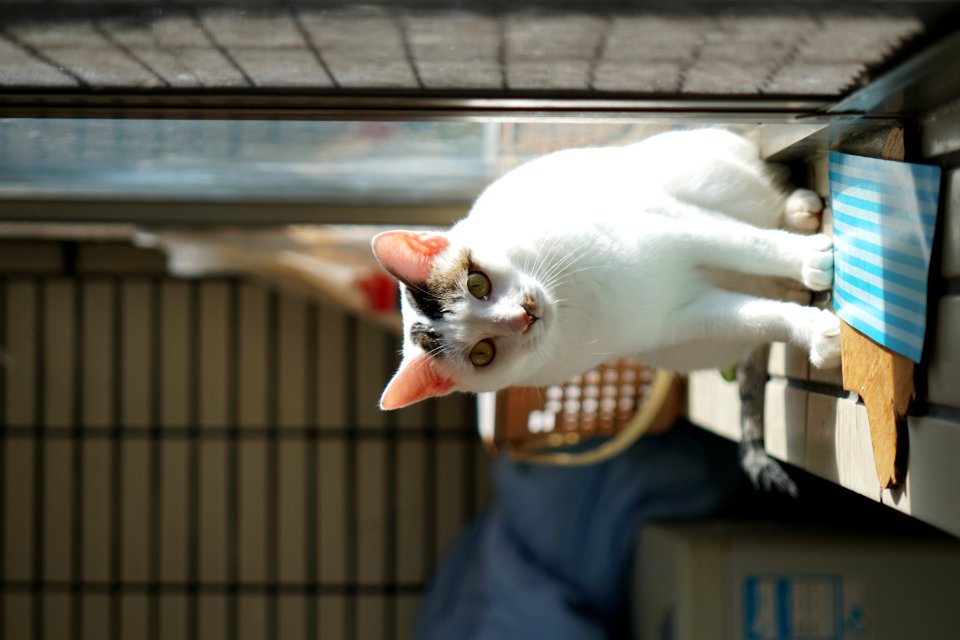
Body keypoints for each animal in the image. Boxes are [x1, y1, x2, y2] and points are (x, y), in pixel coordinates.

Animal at [372, 129, 836, 410]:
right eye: (482, 353)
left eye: (477, 283)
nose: (526, 315)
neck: (575, 301)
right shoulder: (679, 319)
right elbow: (761, 318)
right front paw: (816, 331)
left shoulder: (672, 224)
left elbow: (748, 244)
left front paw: (810, 259)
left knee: (765, 199)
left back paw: (798, 213)